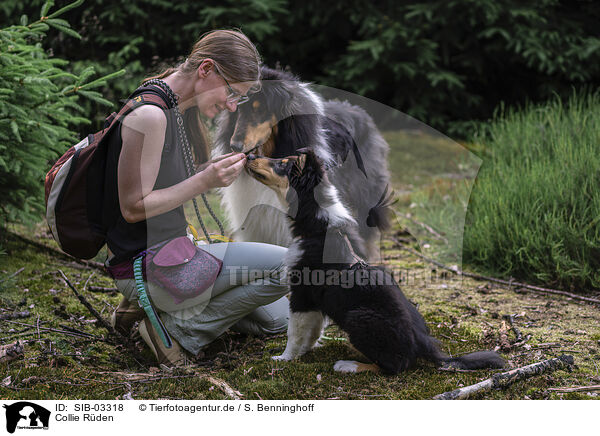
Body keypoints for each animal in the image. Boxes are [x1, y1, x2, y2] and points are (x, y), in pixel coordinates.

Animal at [245, 151, 506, 374]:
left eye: (282, 164)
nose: (248, 155)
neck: (319, 225)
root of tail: (425, 344)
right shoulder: (315, 301)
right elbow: (313, 330)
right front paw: (307, 351)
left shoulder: (302, 293)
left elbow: (295, 332)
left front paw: (284, 358)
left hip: (358, 318)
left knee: (394, 366)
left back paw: (348, 365)